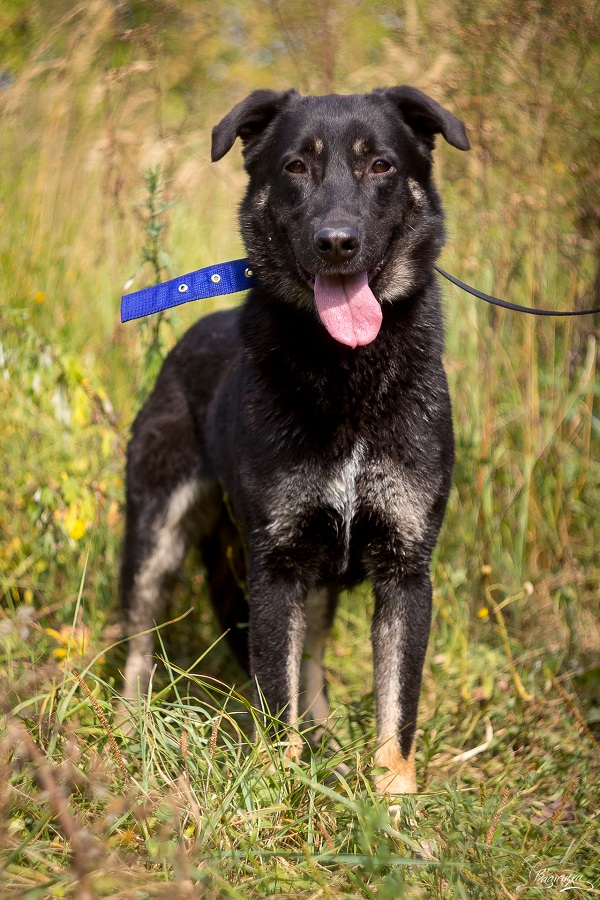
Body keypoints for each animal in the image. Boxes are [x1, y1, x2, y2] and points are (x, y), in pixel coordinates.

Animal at [119, 86, 469, 794]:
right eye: (296, 167)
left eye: (380, 165)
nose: (336, 243)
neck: (346, 372)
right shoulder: (276, 567)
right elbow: (273, 696)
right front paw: (283, 790)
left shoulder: (405, 572)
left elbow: (397, 709)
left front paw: (394, 802)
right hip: (155, 534)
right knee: (138, 641)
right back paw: (125, 730)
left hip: (320, 576)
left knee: (310, 661)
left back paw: (326, 736)